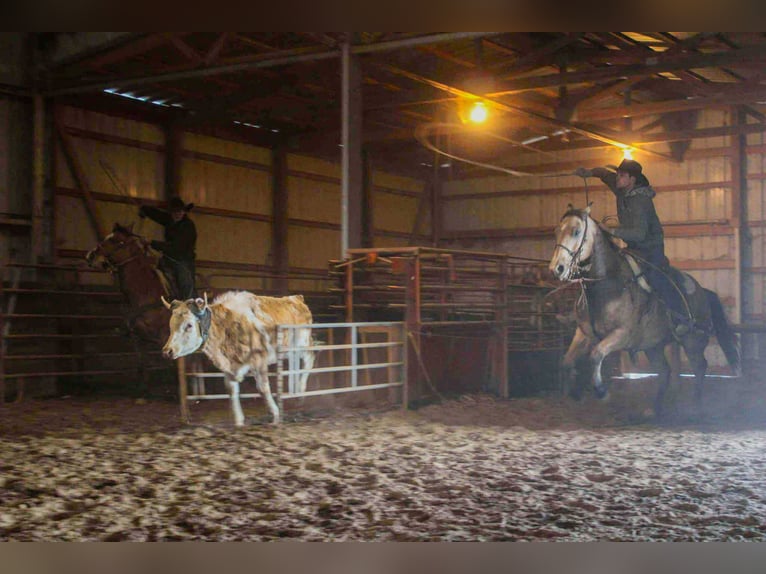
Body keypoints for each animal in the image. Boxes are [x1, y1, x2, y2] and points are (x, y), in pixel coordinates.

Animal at [162, 292, 316, 428]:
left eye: (189, 325)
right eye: (170, 325)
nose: (167, 351)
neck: (229, 326)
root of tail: (297, 299)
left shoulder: (259, 360)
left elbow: (263, 388)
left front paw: (275, 415)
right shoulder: (229, 367)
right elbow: (232, 390)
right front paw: (239, 421)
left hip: (302, 344)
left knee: (310, 358)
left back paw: (301, 389)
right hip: (290, 351)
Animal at [548, 206, 740, 418]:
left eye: (576, 231)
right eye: (556, 231)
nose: (557, 268)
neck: (608, 285)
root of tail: (703, 291)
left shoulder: (622, 335)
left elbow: (596, 354)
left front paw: (601, 391)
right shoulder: (583, 333)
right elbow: (566, 361)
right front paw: (575, 393)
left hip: (692, 341)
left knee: (699, 367)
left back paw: (695, 406)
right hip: (652, 345)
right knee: (665, 371)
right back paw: (655, 409)